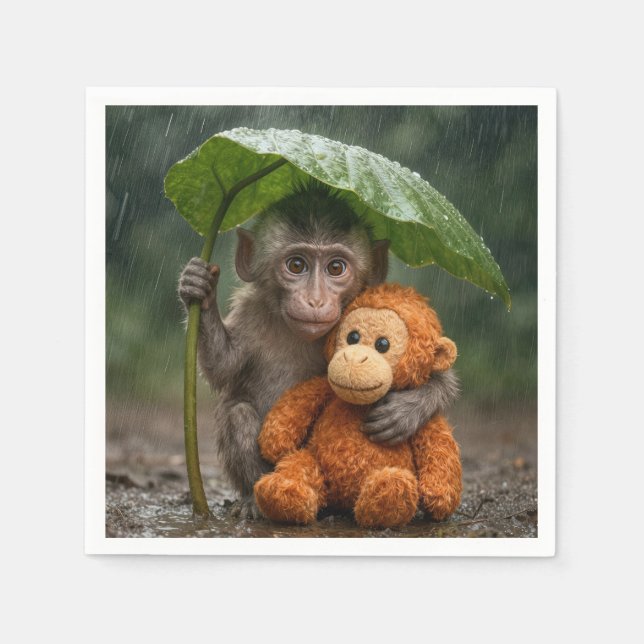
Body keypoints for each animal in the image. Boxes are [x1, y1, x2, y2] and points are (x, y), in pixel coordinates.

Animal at [178, 184, 459, 518]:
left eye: (335, 267)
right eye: (296, 265)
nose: (314, 300)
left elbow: (436, 369)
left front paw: (409, 409)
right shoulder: (251, 310)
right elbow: (224, 366)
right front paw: (200, 289)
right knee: (239, 414)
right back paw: (262, 498)